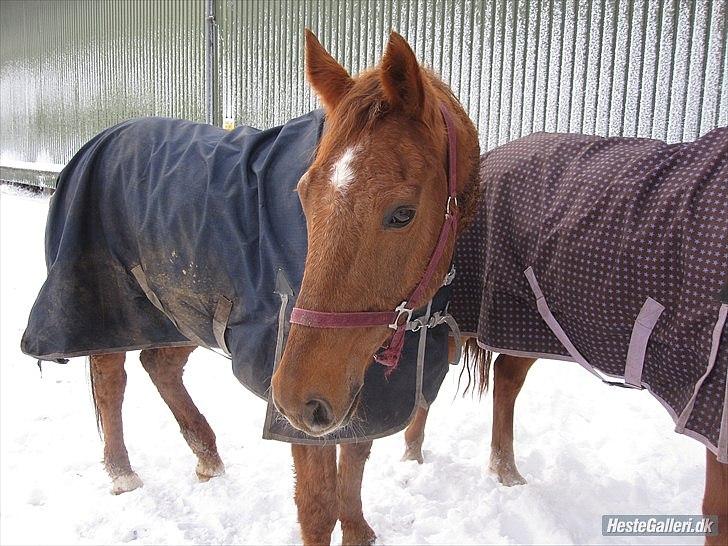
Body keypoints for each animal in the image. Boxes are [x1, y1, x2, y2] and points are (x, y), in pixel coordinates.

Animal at [88, 31, 480, 540]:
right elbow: (317, 509)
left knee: (160, 366)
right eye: (303, 195)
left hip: (183, 312)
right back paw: (122, 473)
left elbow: (354, 468)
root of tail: (105, 136)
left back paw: (207, 457)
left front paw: (359, 530)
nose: (295, 398)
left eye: (402, 213)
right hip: (110, 308)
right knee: (110, 378)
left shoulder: (358, 393)